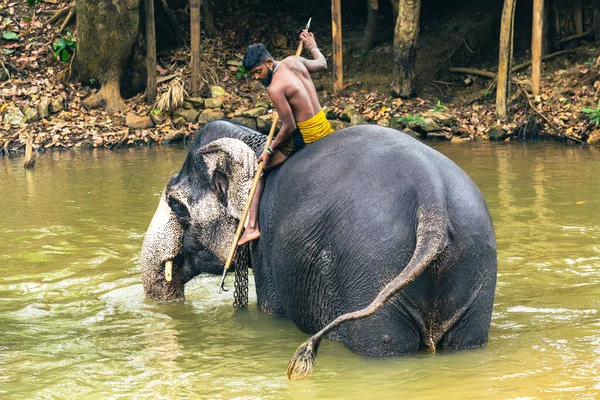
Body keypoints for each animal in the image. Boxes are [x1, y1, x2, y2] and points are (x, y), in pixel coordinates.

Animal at [141, 119, 496, 378]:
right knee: (467, 340)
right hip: (475, 269)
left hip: (369, 269)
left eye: (176, 204)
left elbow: (271, 308)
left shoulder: (267, 248)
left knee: (383, 346)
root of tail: (431, 200)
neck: (254, 143)